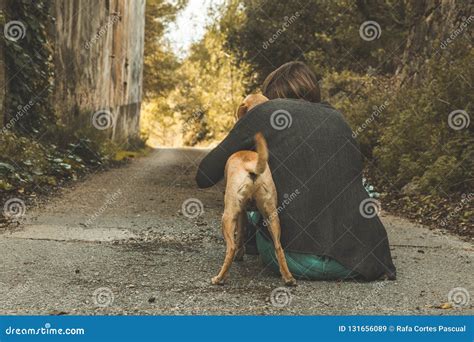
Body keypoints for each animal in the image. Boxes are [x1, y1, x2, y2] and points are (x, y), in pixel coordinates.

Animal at [212, 93, 296, 286]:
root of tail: (252, 167)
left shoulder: (241, 213)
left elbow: (240, 237)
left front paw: (240, 255)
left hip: (228, 214)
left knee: (231, 247)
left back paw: (219, 278)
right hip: (272, 215)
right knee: (278, 247)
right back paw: (288, 278)